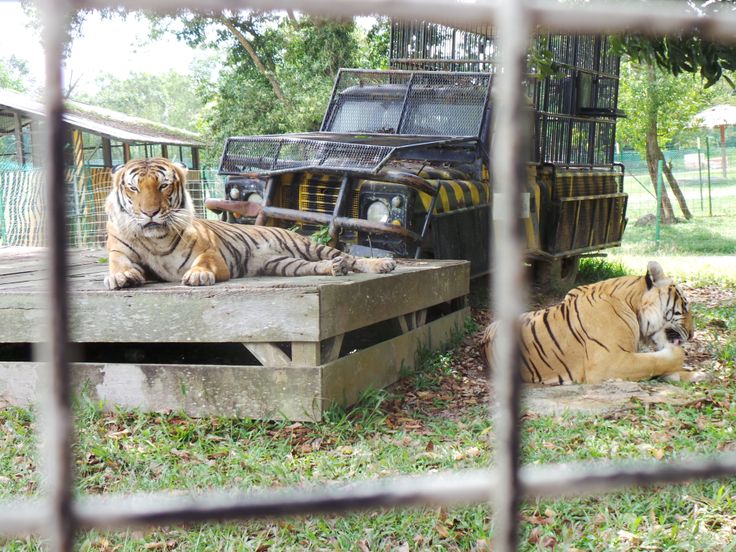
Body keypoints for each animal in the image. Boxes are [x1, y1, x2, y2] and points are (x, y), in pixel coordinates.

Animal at [104, 157, 396, 290]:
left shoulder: (210, 253)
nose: (150, 212)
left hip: (307, 246)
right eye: (133, 188)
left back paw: (382, 264)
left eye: (163, 186)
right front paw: (119, 277)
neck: (155, 239)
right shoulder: (120, 252)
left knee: (348, 257)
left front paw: (197, 275)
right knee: (324, 264)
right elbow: (120, 266)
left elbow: (202, 263)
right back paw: (335, 269)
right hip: (283, 264)